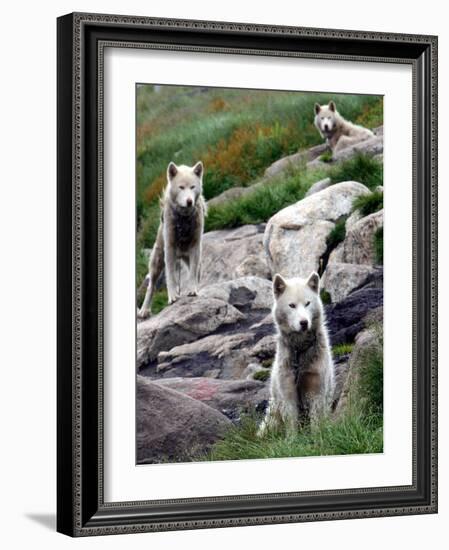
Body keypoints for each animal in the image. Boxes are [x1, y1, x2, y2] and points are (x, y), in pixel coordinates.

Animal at [136, 161, 206, 320]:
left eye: (192, 187)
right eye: (181, 187)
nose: (189, 201)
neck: (184, 219)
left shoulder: (195, 247)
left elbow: (192, 275)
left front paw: (192, 291)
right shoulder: (170, 248)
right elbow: (171, 278)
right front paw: (173, 297)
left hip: (196, 261)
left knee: (195, 273)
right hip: (157, 262)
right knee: (151, 286)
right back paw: (144, 310)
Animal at [258, 274, 334, 438]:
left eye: (307, 303)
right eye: (292, 305)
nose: (304, 322)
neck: (300, 351)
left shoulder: (316, 390)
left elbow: (316, 422)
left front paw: (317, 439)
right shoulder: (288, 392)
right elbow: (291, 424)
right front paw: (292, 441)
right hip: (273, 417)